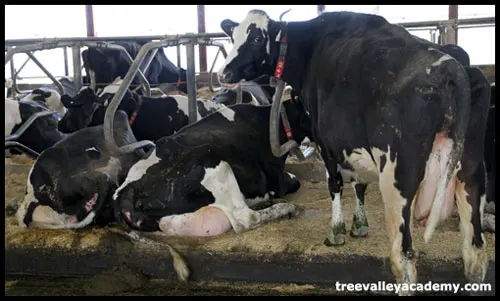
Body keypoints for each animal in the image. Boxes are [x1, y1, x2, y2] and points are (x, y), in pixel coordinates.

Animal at [111, 99, 310, 236]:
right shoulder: (277, 177)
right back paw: (285, 208)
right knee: (246, 218)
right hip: (214, 161)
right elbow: (293, 182)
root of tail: (124, 193)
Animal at [218, 10, 488, 294]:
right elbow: (359, 184)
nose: (224, 73)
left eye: (257, 38)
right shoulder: (353, 144)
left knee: (403, 259)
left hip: (397, 178)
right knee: (476, 254)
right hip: (472, 171)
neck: (310, 48)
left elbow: (334, 184)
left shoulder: (325, 142)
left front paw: (337, 231)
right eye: (233, 35)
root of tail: (450, 67)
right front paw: (359, 225)